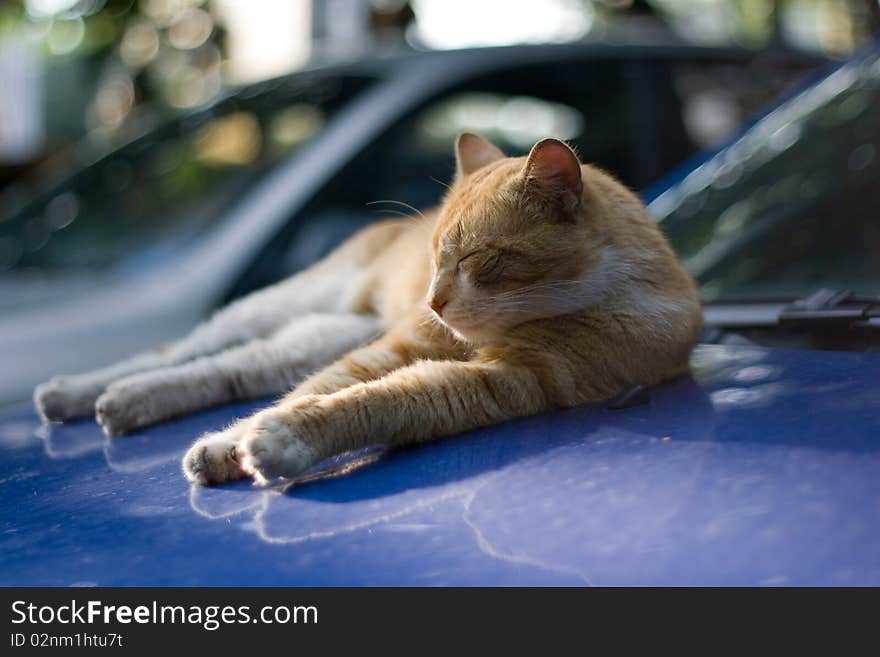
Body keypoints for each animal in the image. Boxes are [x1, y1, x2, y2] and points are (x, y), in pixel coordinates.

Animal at [34, 133, 700, 482]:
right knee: (177, 350)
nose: (431, 302)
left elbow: (377, 401)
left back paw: (124, 406)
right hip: (279, 307)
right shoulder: (401, 345)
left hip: (310, 337)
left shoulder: (511, 379)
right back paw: (78, 393)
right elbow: (322, 391)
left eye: (475, 258)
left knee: (228, 372)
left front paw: (263, 443)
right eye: (434, 255)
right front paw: (236, 444)